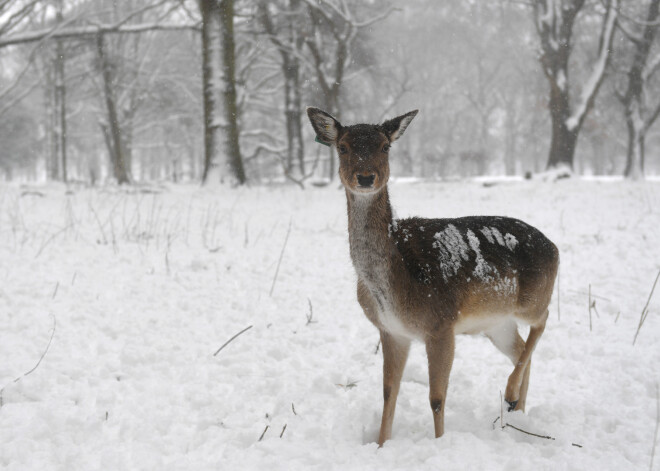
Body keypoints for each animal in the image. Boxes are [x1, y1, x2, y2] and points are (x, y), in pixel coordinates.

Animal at [306, 106, 560, 446]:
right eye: (343, 147)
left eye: (385, 146)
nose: (366, 177)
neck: (394, 286)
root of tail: (554, 246)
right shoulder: (391, 331)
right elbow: (388, 393)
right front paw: (381, 444)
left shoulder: (441, 324)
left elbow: (436, 398)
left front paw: (440, 444)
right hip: (496, 323)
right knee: (521, 349)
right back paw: (517, 411)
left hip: (533, 297)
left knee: (543, 321)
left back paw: (510, 394)